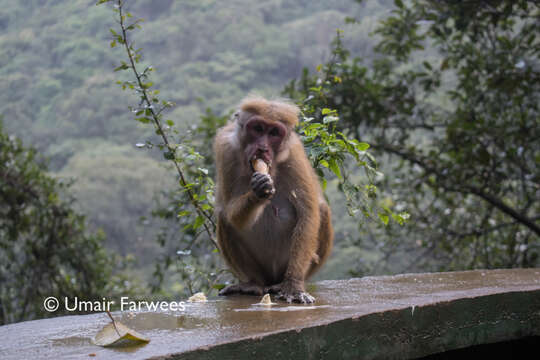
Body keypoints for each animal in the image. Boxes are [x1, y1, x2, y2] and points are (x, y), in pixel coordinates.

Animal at [212, 96, 332, 304]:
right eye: (258, 129)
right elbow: (230, 211)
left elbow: (308, 214)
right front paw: (258, 192)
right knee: (224, 218)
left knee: (322, 210)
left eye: (274, 133)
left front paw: (293, 286)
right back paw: (252, 283)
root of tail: (271, 279)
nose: (263, 148)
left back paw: (284, 283)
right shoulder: (226, 149)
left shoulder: (294, 154)